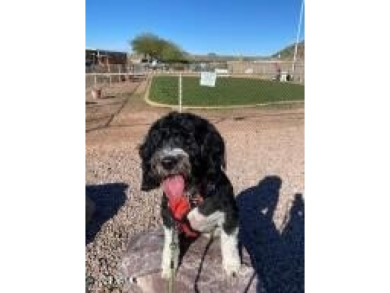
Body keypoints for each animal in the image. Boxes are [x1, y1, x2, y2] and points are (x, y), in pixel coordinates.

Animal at [139, 110, 239, 278]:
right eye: (157, 143)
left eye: (188, 141)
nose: (167, 162)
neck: (190, 194)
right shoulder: (169, 216)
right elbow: (170, 244)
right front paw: (169, 267)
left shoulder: (230, 213)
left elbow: (229, 240)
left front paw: (232, 265)